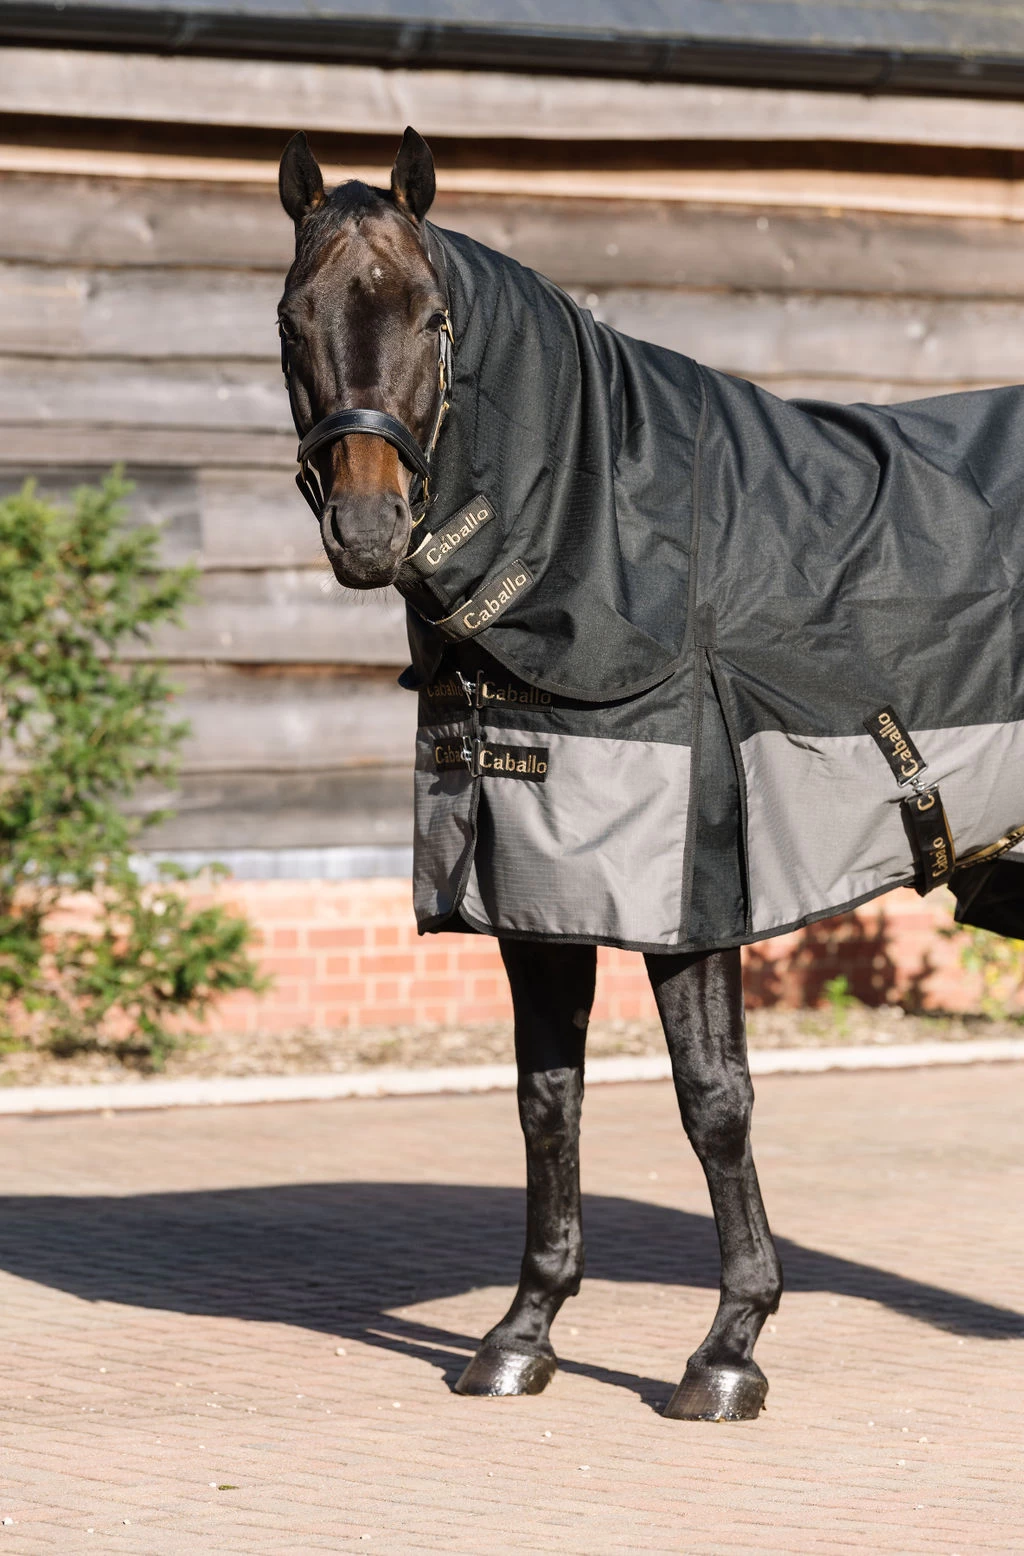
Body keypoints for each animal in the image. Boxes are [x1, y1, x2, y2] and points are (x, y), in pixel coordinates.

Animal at [276, 126, 1024, 1421]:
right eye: (291, 318)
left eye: (431, 316)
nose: (368, 532)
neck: (613, 545)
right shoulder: (532, 889)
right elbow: (546, 1100)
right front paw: (520, 1333)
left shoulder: (691, 889)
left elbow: (712, 1101)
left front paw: (727, 1348)